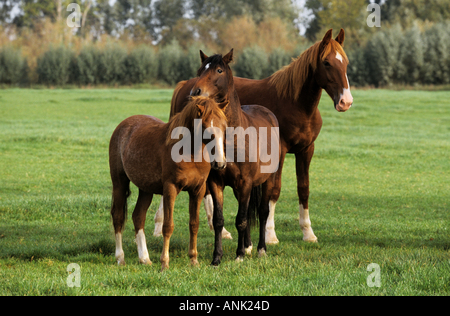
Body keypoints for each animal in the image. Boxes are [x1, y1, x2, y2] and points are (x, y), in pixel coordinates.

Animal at [109, 95, 229, 270]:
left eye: (224, 126)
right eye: (206, 127)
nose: (220, 163)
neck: (189, 152)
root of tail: (123, 125)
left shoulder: (197, 190)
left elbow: (194, 224)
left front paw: (193, 260)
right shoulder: (170, 189)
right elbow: (168, 226)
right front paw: (164, 263)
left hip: (146, 189)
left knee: (138, 216)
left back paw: (144, 258)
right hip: (119, 182)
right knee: (118, 217)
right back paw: (120, 258)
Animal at [167, 28, 354, 244]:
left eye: (345, 62)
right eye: (326, 62)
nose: (345, 101)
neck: (296, 104)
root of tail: (184, 87)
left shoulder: (306, 150)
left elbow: (303, 188)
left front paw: (308, 232)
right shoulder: (279, 152)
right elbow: (274, 190)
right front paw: (270, 234)